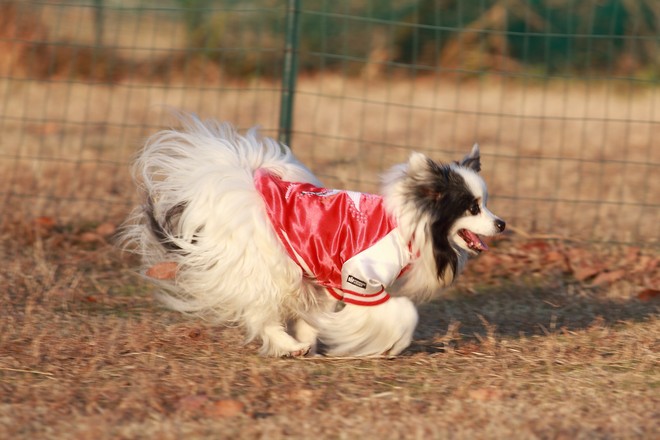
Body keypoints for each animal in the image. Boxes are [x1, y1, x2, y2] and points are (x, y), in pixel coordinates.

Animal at [120, 115, 505, 357]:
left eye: (485, 204)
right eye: (472, 208)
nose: (501, 223)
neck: (413, 224)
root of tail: (240, 185)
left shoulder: (332, 279)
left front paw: (321, 333)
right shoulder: (362, 279)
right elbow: (404, 312)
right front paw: (381, 341)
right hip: (270, 267)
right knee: (260, 312)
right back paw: (289, 346)